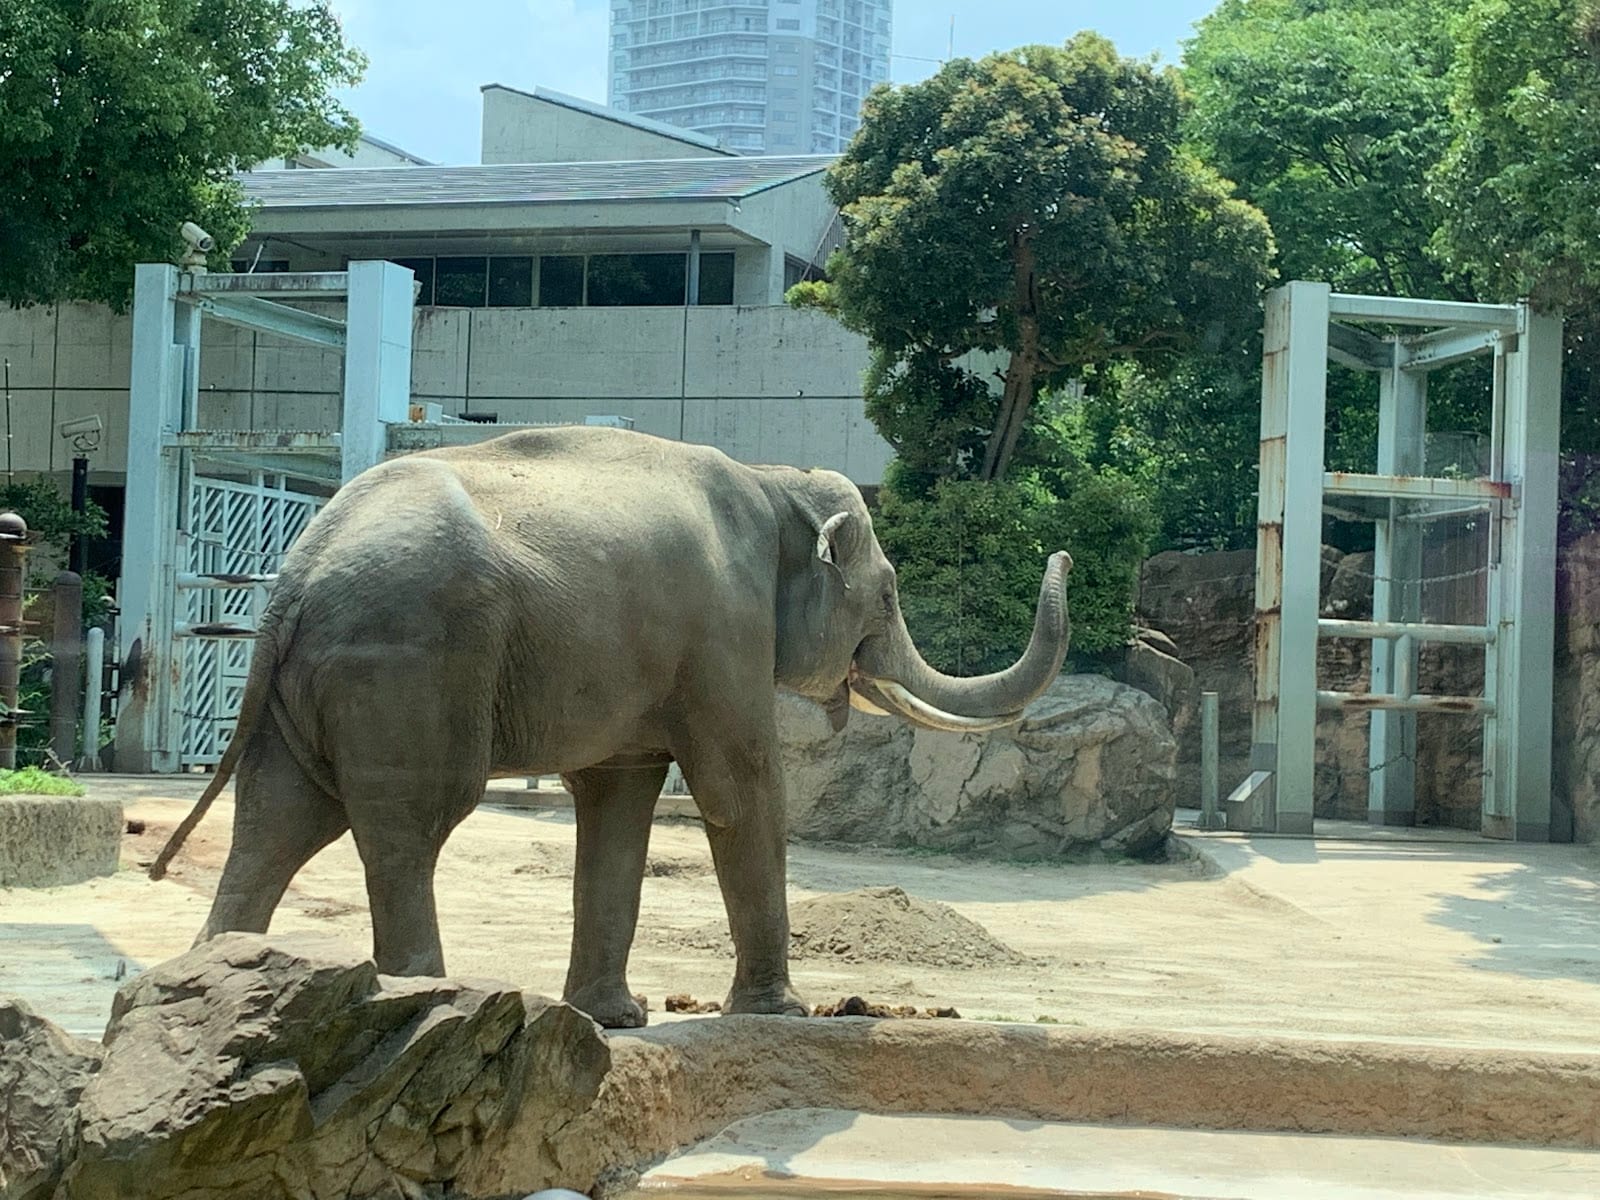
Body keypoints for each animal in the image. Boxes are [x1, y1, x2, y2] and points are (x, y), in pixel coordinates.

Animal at [149, 425, 1072, 1028]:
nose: (1061, 552)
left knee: (276, 823)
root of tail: (295, 572)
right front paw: (784, 1014)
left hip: (315, 686)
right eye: (885, 595)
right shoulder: (724, 632)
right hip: (409, 666)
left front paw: (614, 1019)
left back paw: (215, 984)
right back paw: (427, 999)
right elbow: (740, 790)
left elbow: (620, 798)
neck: (773, 479)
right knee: (405, 828)